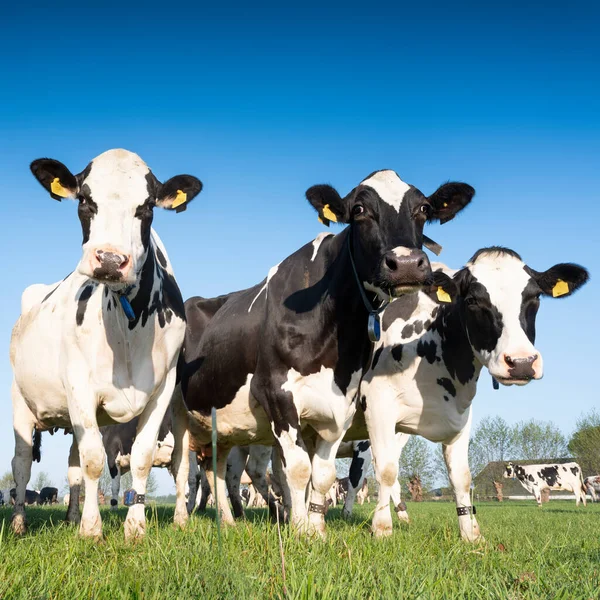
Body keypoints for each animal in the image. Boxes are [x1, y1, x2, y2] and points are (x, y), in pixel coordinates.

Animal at [9, 149, 202, 540]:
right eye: (84, 199)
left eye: (147, 206)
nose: (111, 260)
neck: (129, 327)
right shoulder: (79, 385)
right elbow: (94, 460)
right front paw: (91, 529)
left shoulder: (163, 389)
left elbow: (141, 457)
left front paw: (135, 527)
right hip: (20, 402)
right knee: (21, 464)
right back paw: (20, 522)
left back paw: (73, 516)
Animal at [172, 169, 474, 536]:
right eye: (359, 209)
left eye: (424, 208)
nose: (405, 263)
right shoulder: (277, 393)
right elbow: (299, 470)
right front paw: (301, 529)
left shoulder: (340, 405)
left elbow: (324, 474)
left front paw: (316, 529)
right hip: (174, 414)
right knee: (185, 470)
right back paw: (184, 518)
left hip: (223, 424)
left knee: (217, 470)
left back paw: (228, 522)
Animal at [356, 247, 592, 540]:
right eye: (472, 300)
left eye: (535, 297)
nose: (522, 362)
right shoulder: (378, 404)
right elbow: (386, 470)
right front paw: (381, 529)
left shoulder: (460, 416)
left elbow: (462, 478)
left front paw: (470, 533)